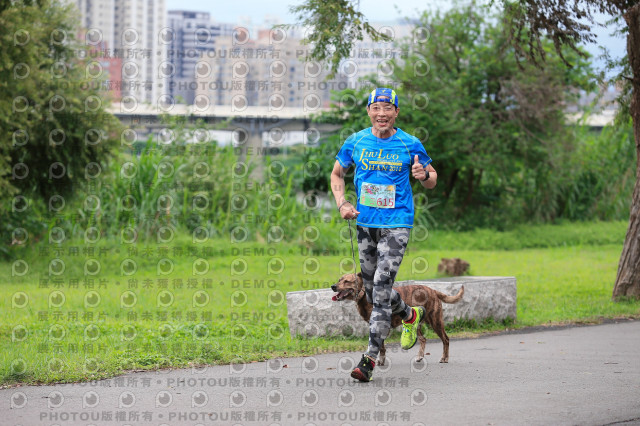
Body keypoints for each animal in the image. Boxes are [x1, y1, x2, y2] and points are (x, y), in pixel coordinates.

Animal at [332, 272, 462, 362]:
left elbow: (381, 347)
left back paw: (444, 358)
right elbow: (381, 346)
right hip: (417, 325)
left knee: (446, 339)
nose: (333, 286)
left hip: (436, 321)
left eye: (347, 281)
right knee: (423, 339)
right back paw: (419, 356)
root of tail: (433, 290)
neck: (364, 295)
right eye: (339, 280)